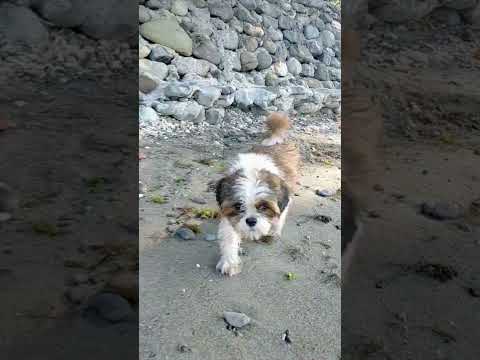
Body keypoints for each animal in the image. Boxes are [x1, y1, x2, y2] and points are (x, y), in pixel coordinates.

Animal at [215, 112, 298, 276]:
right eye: (238, 206)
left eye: (264, 207)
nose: (251, 221)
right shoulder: (228, 214)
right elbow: (229, 235)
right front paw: (230, 261)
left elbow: (279, 216)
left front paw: (272, 230)